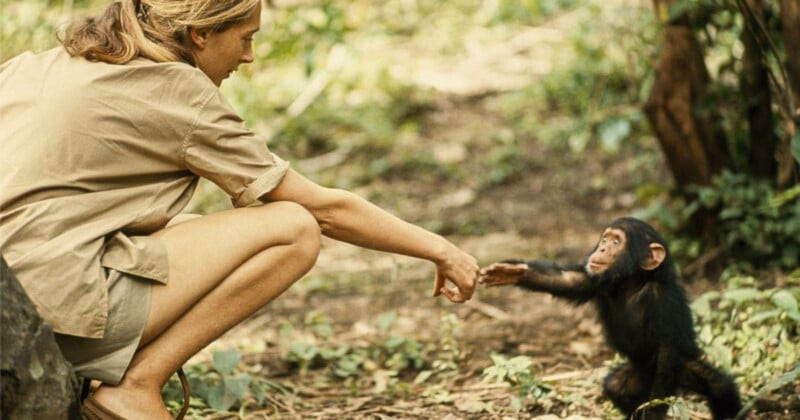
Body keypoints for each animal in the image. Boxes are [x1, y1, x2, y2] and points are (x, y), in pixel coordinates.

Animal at [479, 217, 743, 420]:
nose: (602, 249)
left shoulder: (664, 302)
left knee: (720, 389)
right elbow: (565, 280)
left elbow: (667, 351)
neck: (632, 283)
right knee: (616, 388)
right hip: (637, 376)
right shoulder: (595, 280)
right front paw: (511, 271)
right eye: (605, 239)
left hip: (683, 369)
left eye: (617, 241)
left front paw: (654, 413)